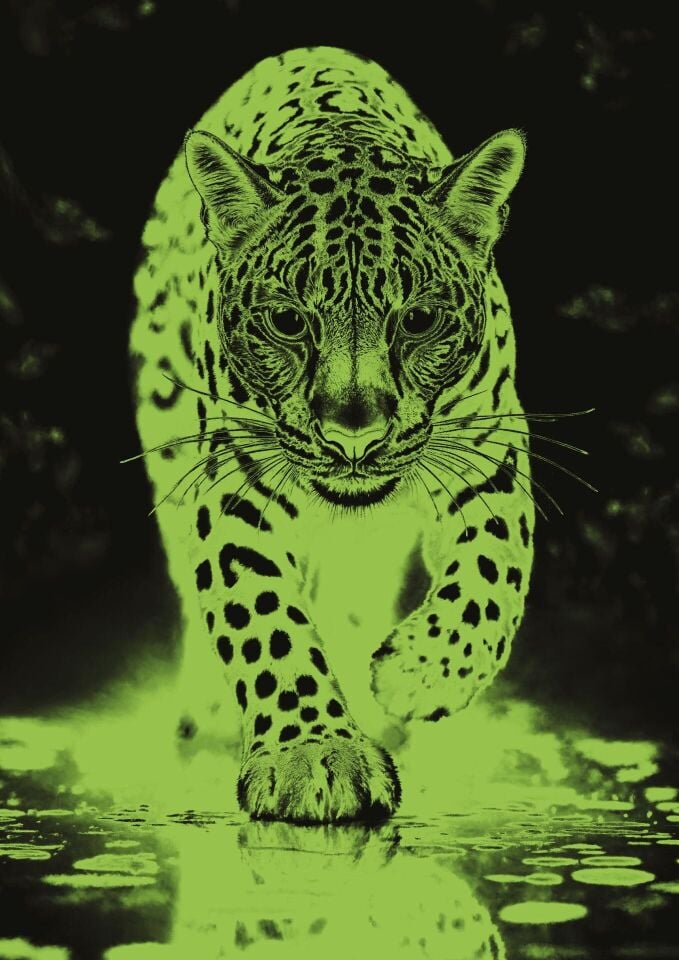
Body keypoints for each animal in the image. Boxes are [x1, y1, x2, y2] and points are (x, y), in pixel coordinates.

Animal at [129, 45, 534, 824]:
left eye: (418, 320)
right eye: (289, 322)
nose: (354, 438)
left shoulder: (488, 442)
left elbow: (492, 572)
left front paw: (420, 677)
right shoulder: (236, 477)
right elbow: (261, 613)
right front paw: (312, 753)